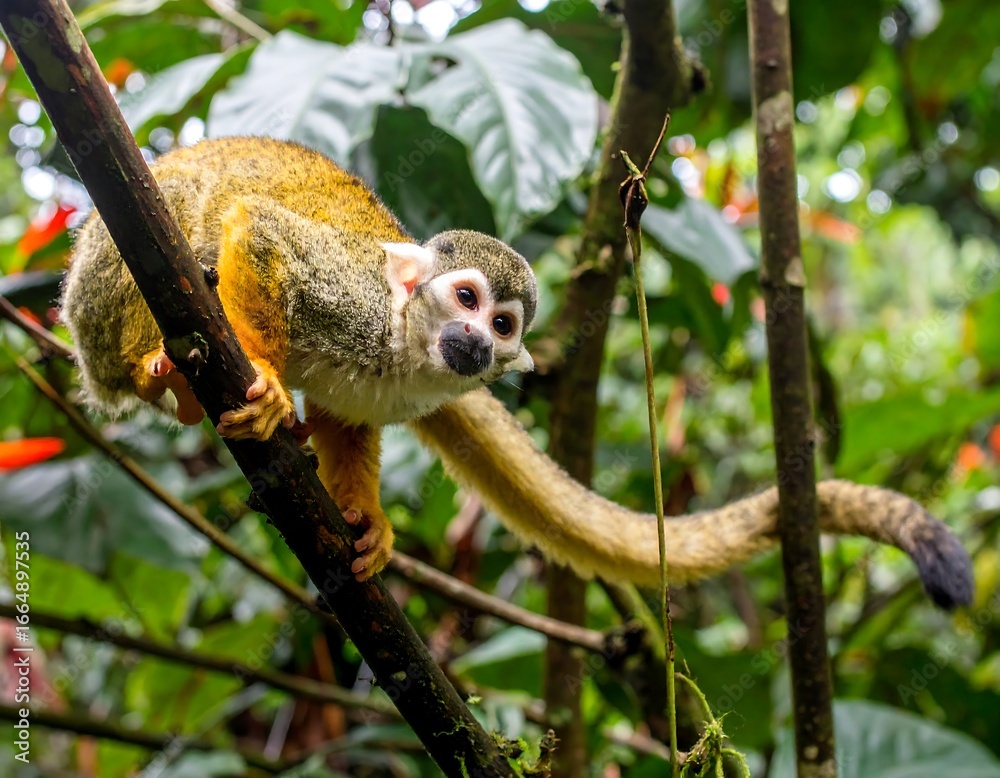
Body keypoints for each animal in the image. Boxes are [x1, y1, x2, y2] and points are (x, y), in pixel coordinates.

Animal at [60, 136, 973, 606]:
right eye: (462, 299)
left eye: (501, 325)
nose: (474, 342)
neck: (405, 348)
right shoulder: (351, 295)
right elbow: (260, 229)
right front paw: (264, 378)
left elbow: (349, 422)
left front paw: (364, 523)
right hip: (100, 281)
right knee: (177, 228)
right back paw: (164, 371)